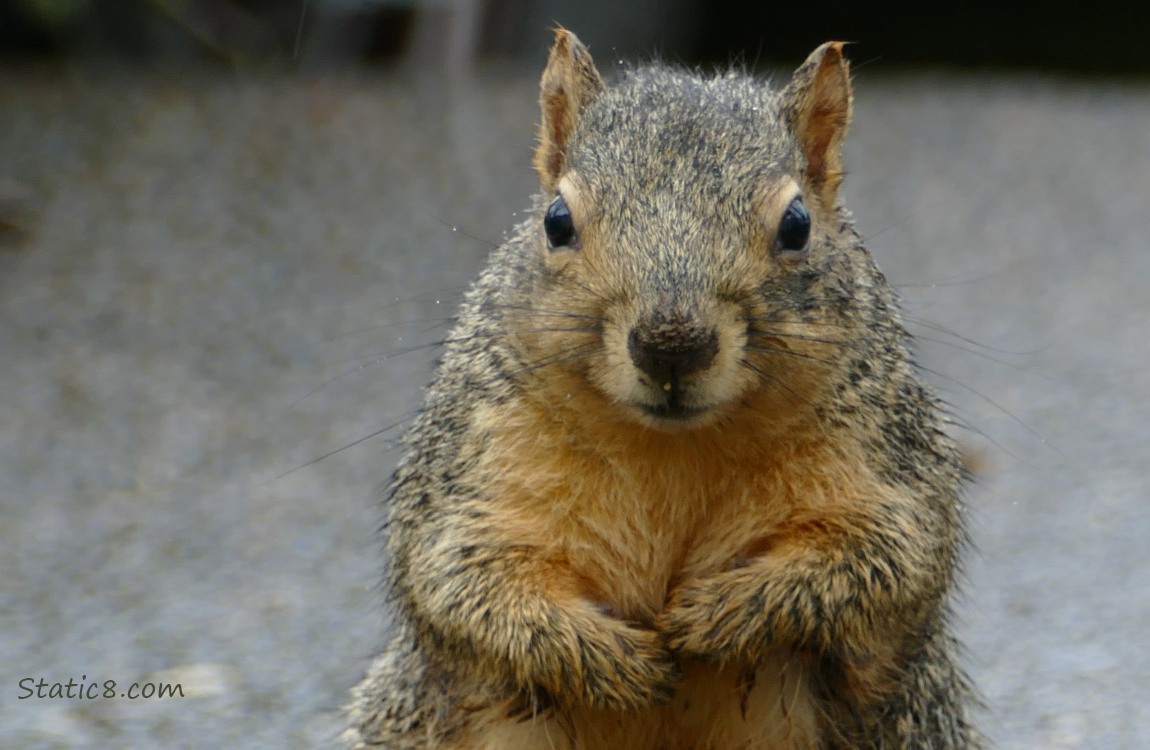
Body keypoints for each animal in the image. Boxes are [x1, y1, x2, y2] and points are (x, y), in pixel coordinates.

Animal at [340, 29, 979, 750]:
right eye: (556, 220)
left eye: (797, 225)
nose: (671, 343)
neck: (675, 451)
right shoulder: (475, 469)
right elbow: (463, 586)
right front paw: (612, 661)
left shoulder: (884, 459)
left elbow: (886, 560)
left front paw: (718, 616)